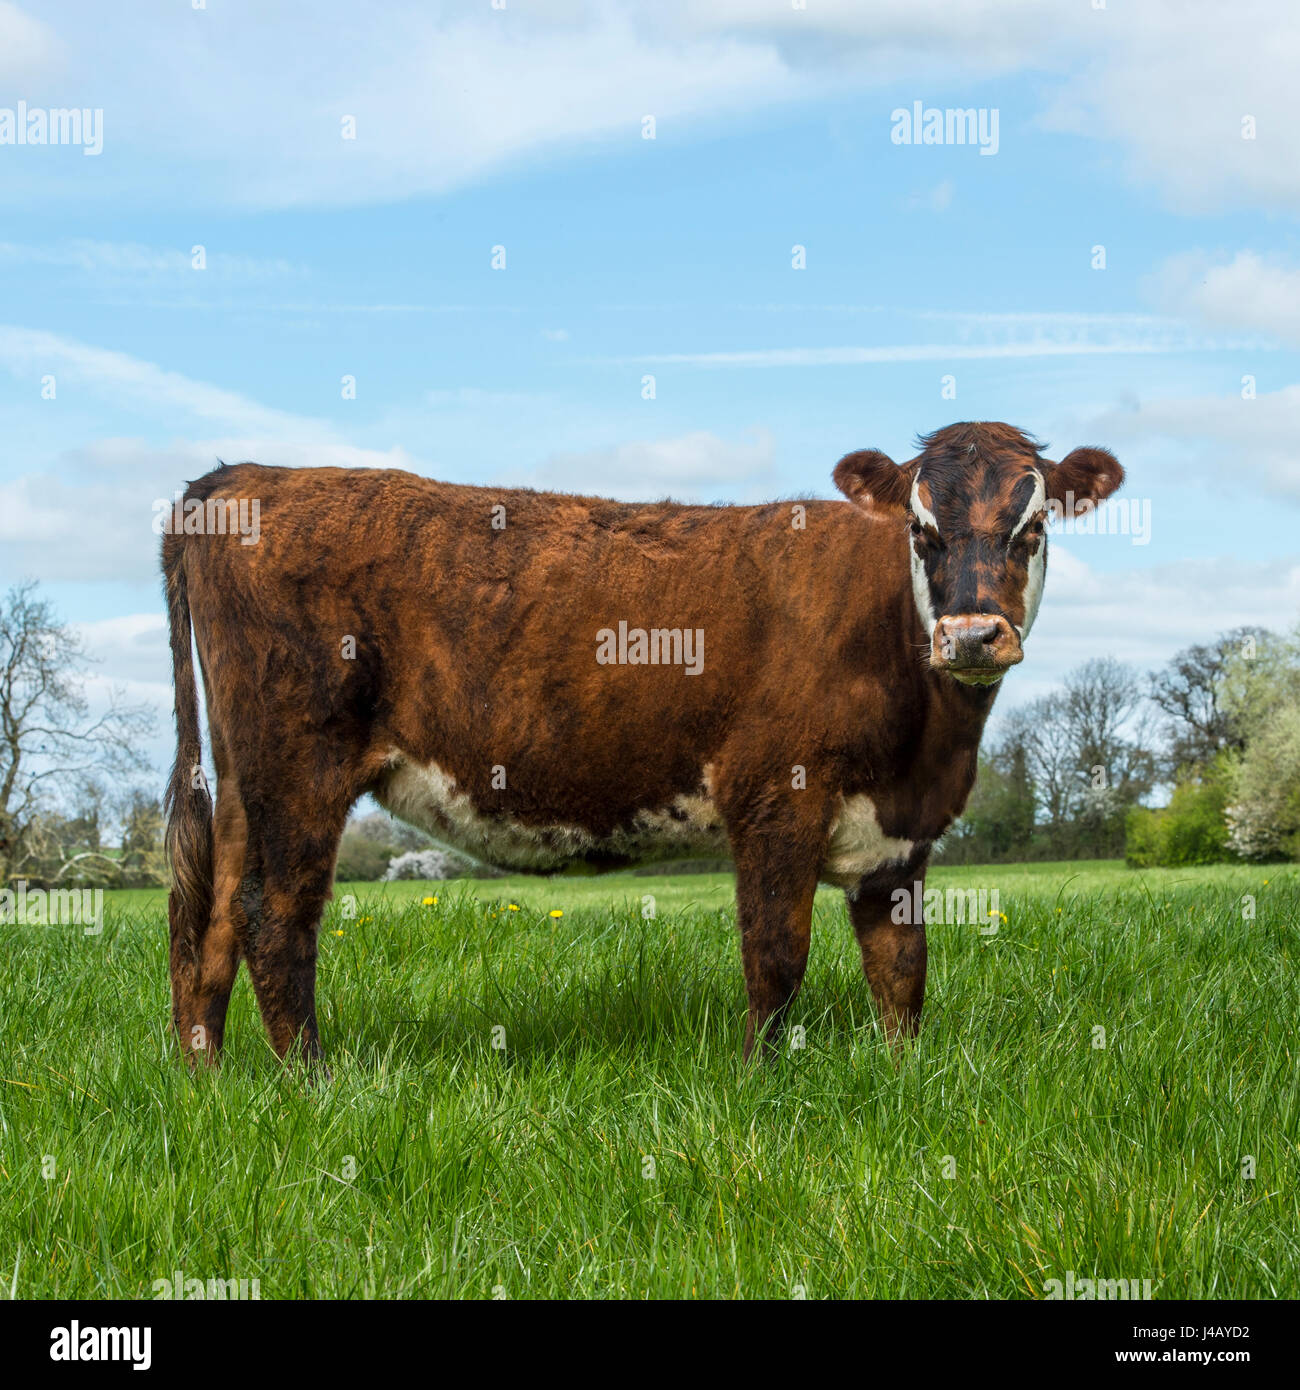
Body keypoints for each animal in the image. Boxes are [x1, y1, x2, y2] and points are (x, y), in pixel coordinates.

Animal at [163, 421, 1122, 1069]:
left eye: (1033, 528)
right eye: (922, 530)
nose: (971, 636)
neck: (926, 745)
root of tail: (246, 475)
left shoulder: (900, 836)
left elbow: (902, 971)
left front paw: (904, 1077)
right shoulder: (776, 797)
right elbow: (776, 957)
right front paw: (760, 1082)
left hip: (246, 780)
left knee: (210, 918)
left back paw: (208, 1081)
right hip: (300, 766)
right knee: (274, 916)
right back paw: (312, 1086)